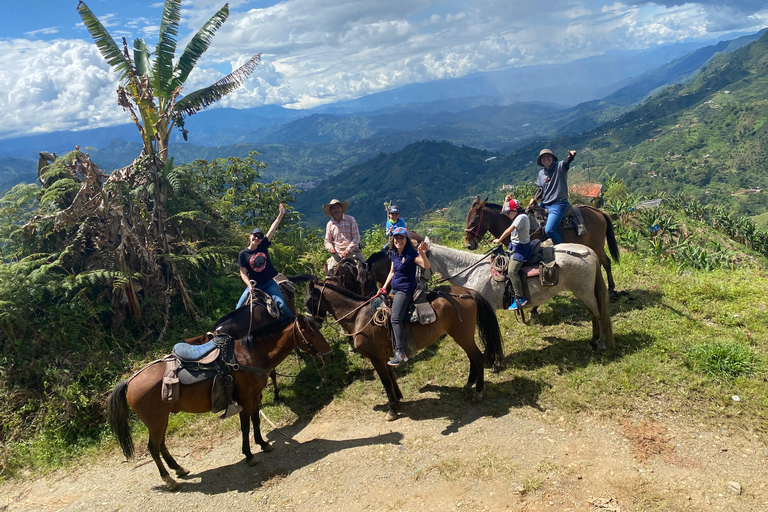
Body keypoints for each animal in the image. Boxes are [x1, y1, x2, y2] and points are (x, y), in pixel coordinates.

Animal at [108, 314, 332, 490]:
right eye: (312, 334)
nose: (329, 355)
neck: (250, 355)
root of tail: (130, 381)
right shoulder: (245, 398)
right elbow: (245, 426)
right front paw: (249, 454)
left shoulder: (255, 396)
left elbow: (256, 421)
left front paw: (263, 444)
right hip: (156, 421)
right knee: (154, 448)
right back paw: (169, 480)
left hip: (161, 420)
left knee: (161, 445)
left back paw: (179, 469)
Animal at [306, 280, 504, 420]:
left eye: (307, 300)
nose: (310, 323)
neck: (360, 317)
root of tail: (468, 293)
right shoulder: (385, 355)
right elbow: (392, 376)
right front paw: (398, 399)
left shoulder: (376, 357)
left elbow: (386, 381)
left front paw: (392, 409)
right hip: (463, 336)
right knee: (472, 358)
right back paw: (469, 385)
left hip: (462, 335)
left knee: (477, 358)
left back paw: (478, 392)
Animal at [426, 239, 612, 352]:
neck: (471, 271)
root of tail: (587, 251)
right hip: (583, 293)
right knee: (593, 314)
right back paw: (593, 340)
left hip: (585, 293)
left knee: (599, 314)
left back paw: (602, 343)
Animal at [464, 197, 620, 294]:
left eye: (474, 221)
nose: (468, 245)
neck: (512, 222)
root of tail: (598, 212)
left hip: (597, 245)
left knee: (606, 262)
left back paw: (611, 288)